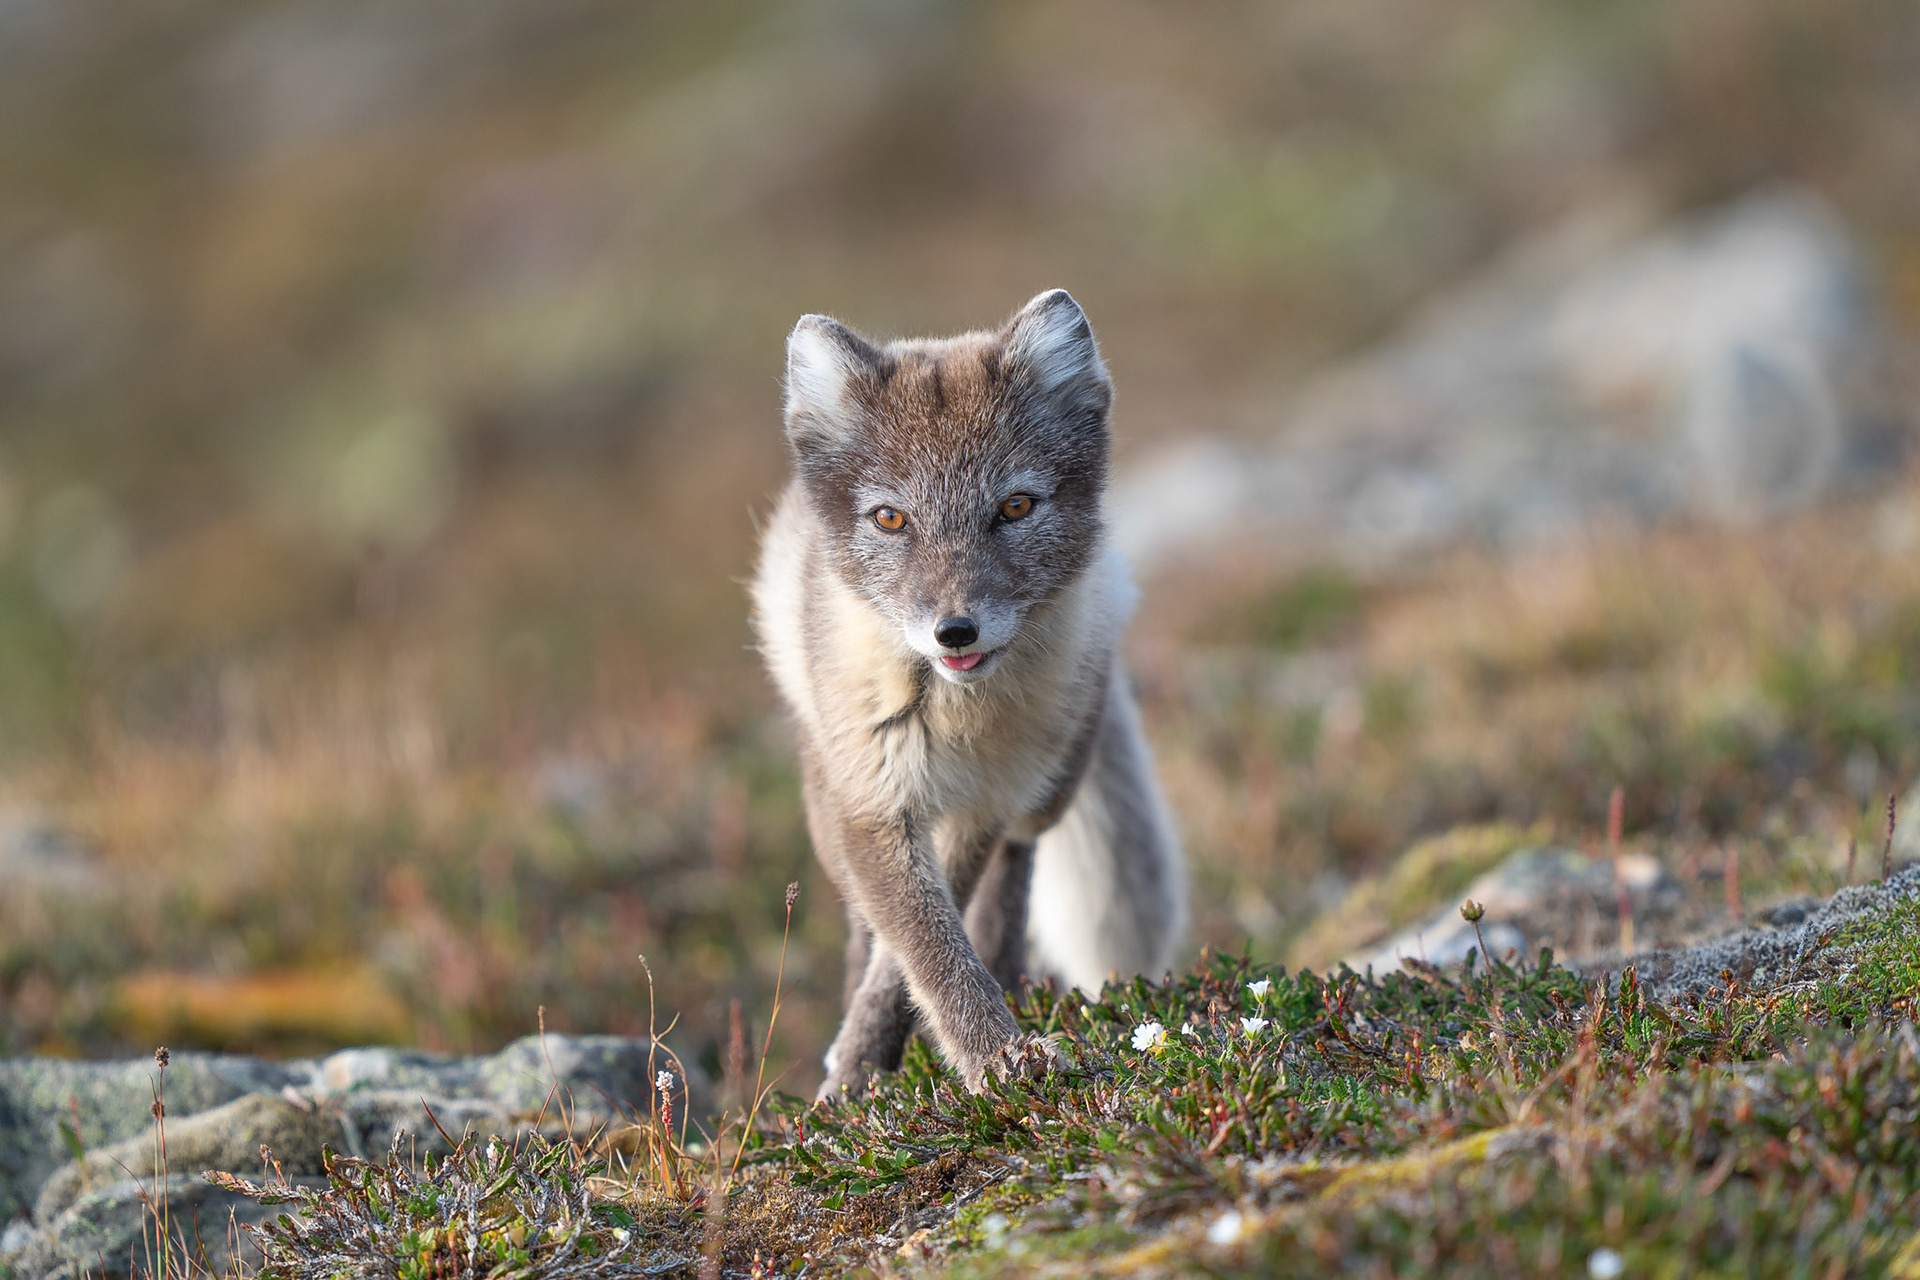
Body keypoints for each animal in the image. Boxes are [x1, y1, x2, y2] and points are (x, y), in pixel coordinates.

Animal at [751, 288, 1186, 1099]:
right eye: (891, 518)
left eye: (1015, 507)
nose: (955, 632)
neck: (955, 716)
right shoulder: (874, 805)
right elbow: (921, 942)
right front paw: (875, 1069)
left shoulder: (983, 804)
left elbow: (939, 938)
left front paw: (985, 1056)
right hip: (827, 796)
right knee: (863, 921)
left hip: (1048, 781)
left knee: (1013, 879)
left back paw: (1010, 980)